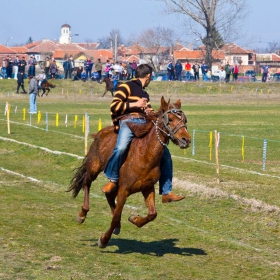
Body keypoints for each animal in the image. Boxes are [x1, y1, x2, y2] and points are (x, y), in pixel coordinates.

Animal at [66, 96, 191, 247]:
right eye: (170, 119)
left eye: (184, 120)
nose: (186, 140)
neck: (145, 154)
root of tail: (101, 133)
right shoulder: (124, 189)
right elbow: (116, 217)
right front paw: (103, 239)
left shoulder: (147, 187)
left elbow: (152, 214)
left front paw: (134, 219)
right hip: (94, 168)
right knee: (86, 183)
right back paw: (82, 214)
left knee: (109, 195)